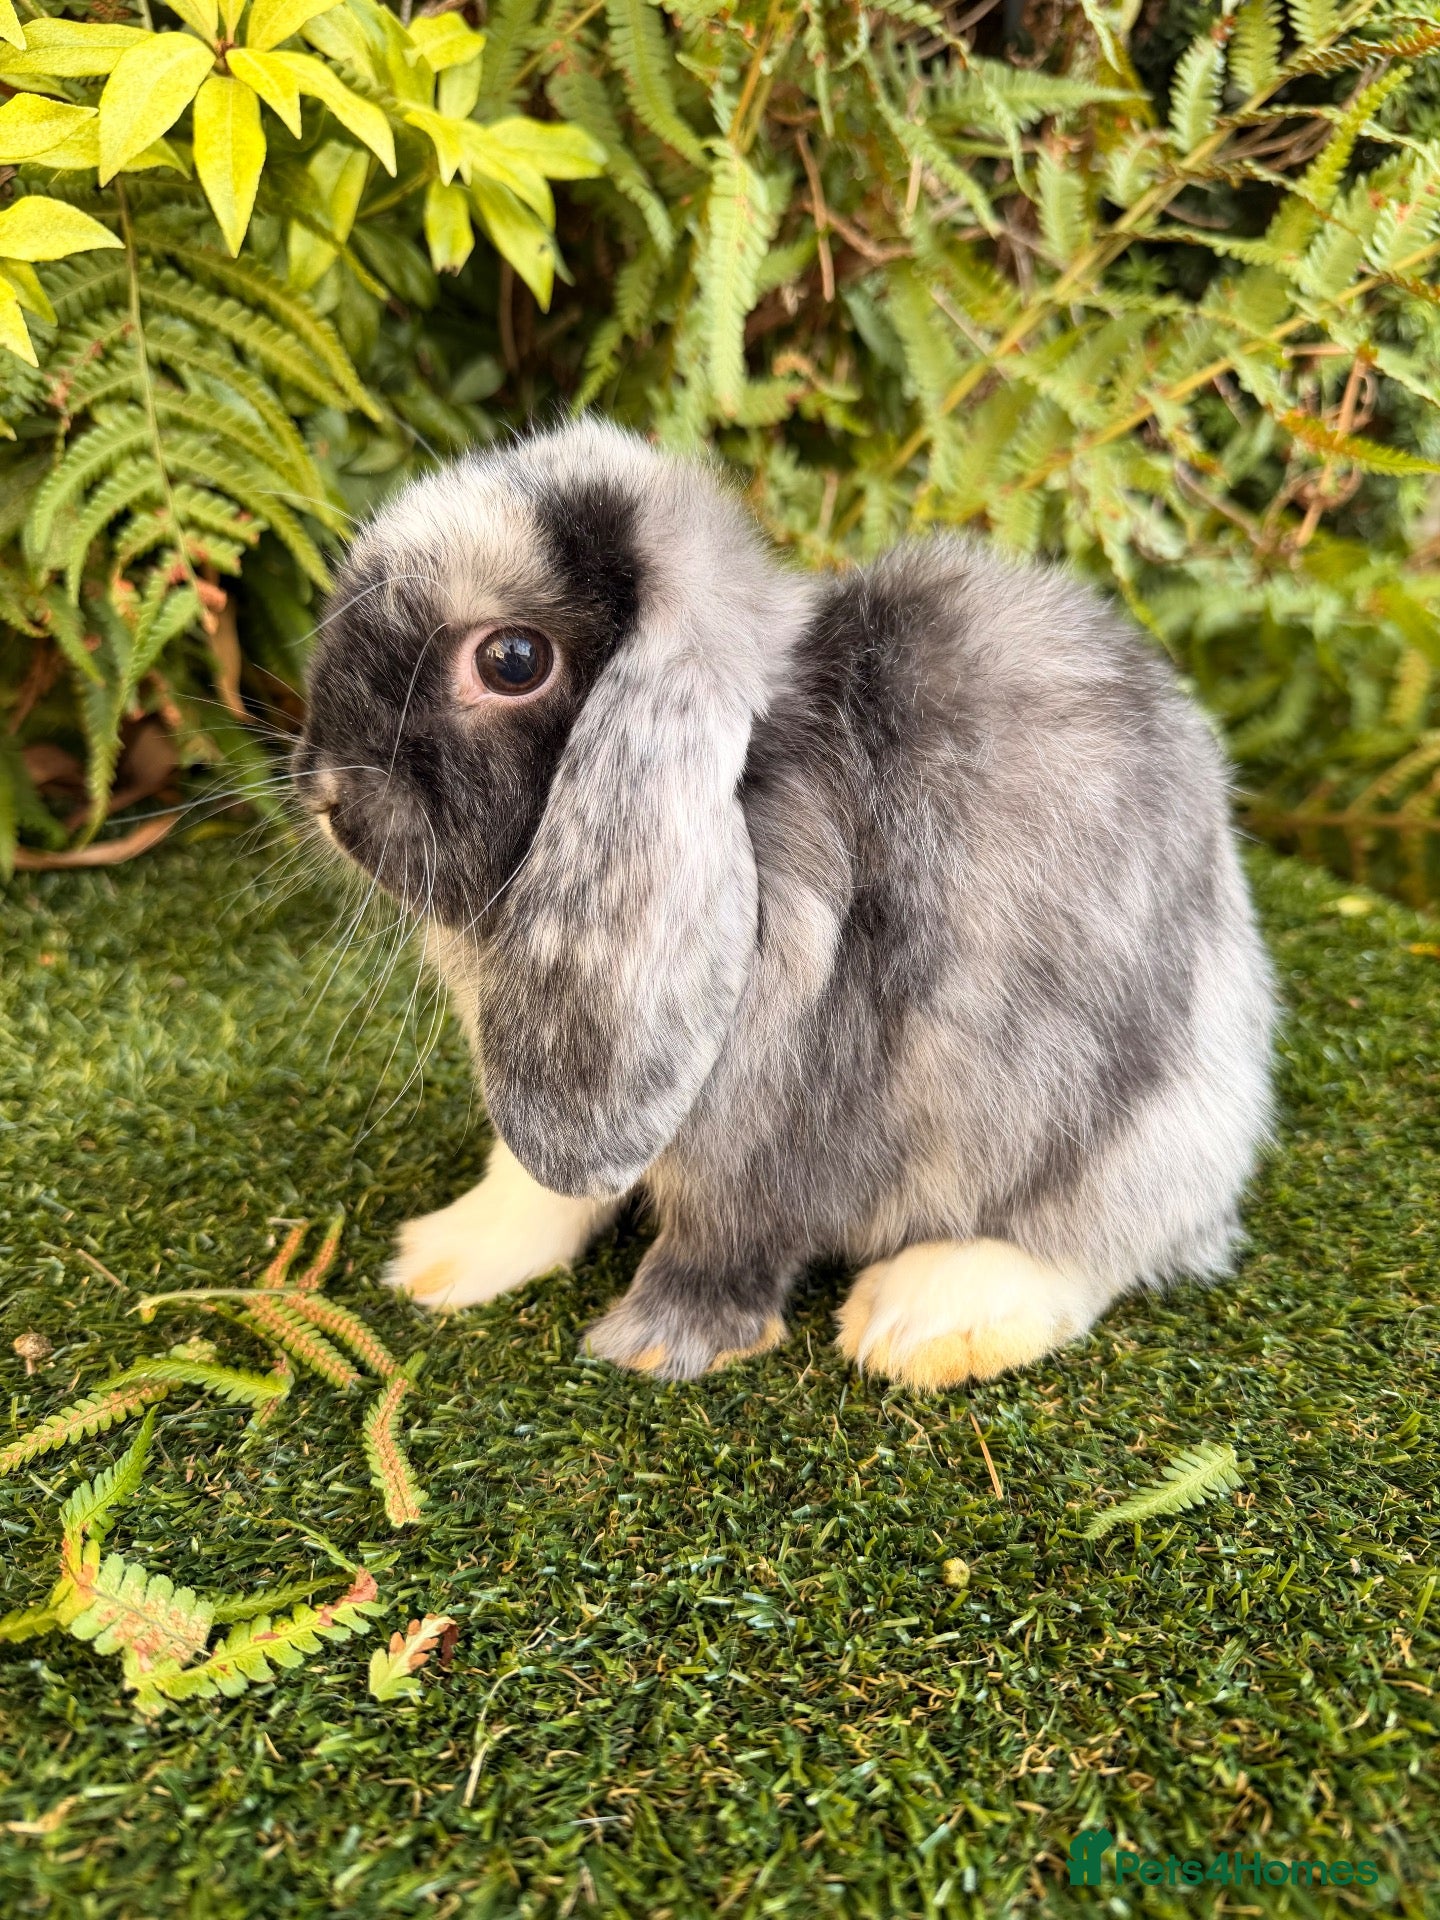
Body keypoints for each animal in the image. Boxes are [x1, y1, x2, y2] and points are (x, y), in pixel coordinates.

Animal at [293, 417, 1274, 1389]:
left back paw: (923, 1322)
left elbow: (728, 1238)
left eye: (512, 660)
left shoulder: (775, 1117)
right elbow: (537, 1181)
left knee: (1100, 1244)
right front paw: (445, 1257)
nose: (327, 795)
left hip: (1121, 1133)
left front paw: (660, 1343)